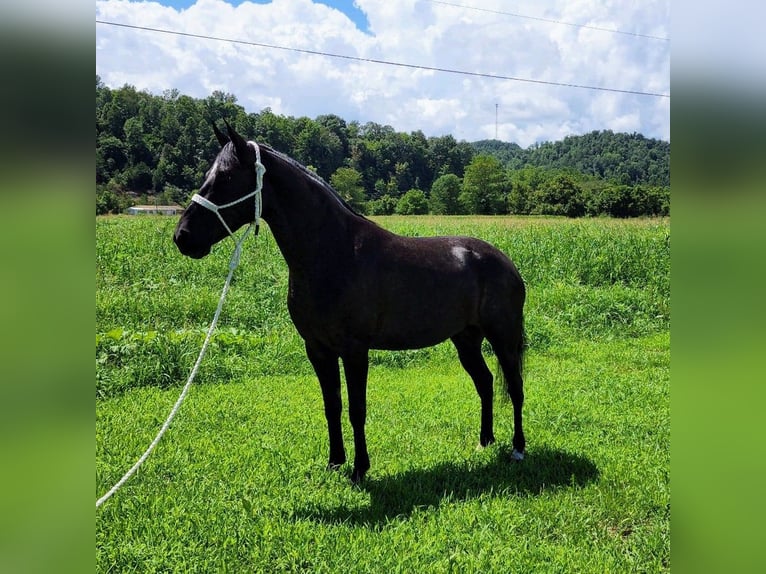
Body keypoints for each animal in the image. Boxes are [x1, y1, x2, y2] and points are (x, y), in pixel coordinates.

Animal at [176, 122, 528, 486]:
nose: (182, 237)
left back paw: (518, 449)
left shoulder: (355, 350)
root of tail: (505, 262)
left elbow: (357, 409)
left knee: (515, 387)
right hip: (466, 339)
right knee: (485, 382)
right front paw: (334, 463)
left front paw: (360, 469)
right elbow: (332, 406)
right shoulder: (318, 349)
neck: (335, 253)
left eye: (227, 177)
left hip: (503, 337)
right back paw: (485, 441)